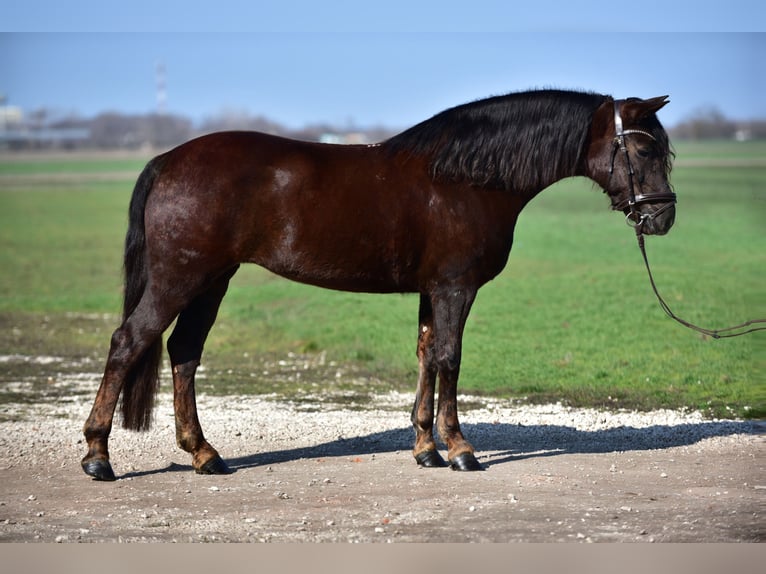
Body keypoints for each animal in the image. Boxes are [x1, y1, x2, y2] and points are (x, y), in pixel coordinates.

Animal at [81, 89, 676, 480]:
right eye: (645, 150)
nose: (664, 218)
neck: (465, 177)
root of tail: (167, 160)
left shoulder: (433, 290)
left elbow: (427, 356)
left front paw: (426, 448)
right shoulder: (456, 288)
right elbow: (450, 359)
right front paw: (460, 449)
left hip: (211, 282)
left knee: (183, 351)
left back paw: (204, 454)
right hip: (181, 279)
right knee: (128, 342)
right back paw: (98, 456)